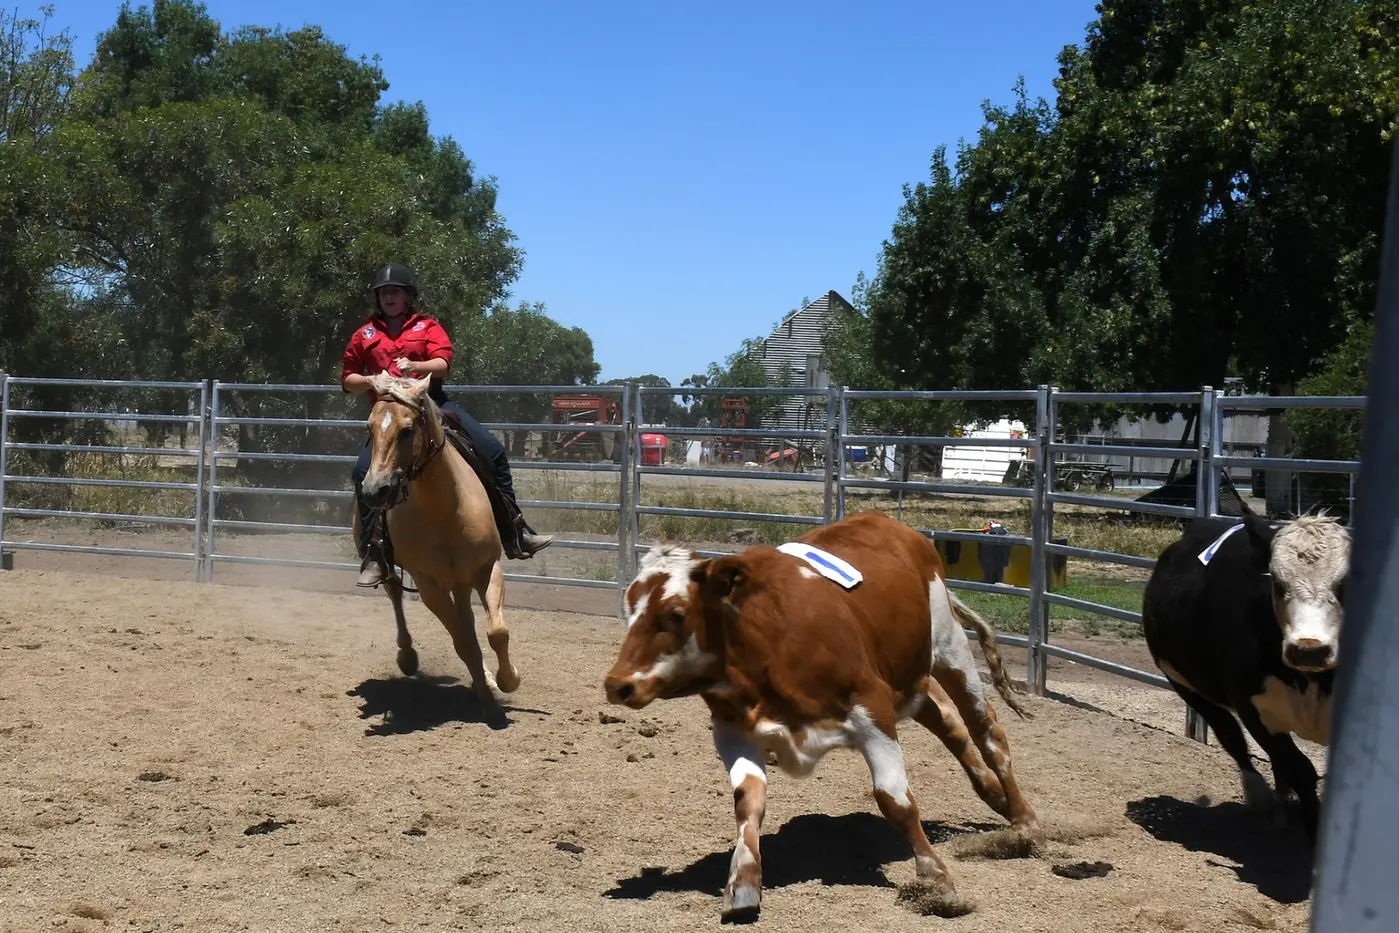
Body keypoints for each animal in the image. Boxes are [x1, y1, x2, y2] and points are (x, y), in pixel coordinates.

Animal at [603, 510, 1044, 922]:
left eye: (675, 613)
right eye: (628, 608)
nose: (617, 685)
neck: (763, 641)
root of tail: (894, 526)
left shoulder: (873, 712)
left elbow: (895, 800)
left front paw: (936, 880)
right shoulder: (733, 730)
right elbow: (748, 802)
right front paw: (742, 886)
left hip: (949, 650)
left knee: (987, 731)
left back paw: (1024, 824)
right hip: (909, 680)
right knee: (948, 723)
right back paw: (996, 796)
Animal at [1142, 510, 1350, 844]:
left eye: (1345, 583)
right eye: (1276, 582)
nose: (1309, 649)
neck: (1311, 681)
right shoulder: (1253, 710)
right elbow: (1301, 769)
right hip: (1183, 683)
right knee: (1230, 735)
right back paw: (1262, 799)